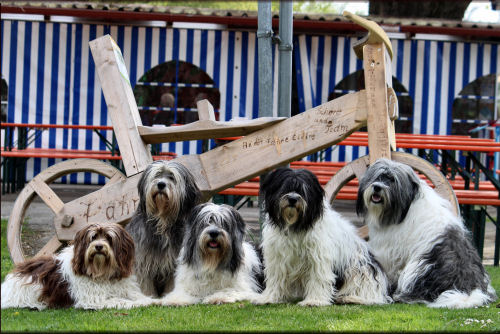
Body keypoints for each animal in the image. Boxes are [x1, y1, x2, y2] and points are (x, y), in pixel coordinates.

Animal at [0, 223, 154, 310]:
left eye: (109, 238)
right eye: (93, 237)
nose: (99, 246)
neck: (101, 271)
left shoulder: (125, 288)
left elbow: (137, 296)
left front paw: (151, 300)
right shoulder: (94, 299)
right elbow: (121, 301)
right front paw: (144, 303)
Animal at [125, 160, 201, 298]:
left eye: (171, 177)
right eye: (157, 175)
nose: (161, 184)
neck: (163, 220)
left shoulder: (174, 261)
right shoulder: (142, 259)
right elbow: (145, 282)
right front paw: (149, 297)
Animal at [254, 167, 390, 306]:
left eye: (303, 190)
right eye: (284, 187)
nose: (292, 199)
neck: (296, 225)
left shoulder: (318, 257)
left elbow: (318, 277)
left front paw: (314, 300)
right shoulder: (277, 257)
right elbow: (276, 277)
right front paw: (269, 298)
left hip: (360, 269)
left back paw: (350, 298)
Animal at [358, 158, 494, 310]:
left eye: (392, 180)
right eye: (377, 177)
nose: (377, 187)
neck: (407, 207)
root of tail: (467, 290)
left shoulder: (390, 252)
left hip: (416, 268)